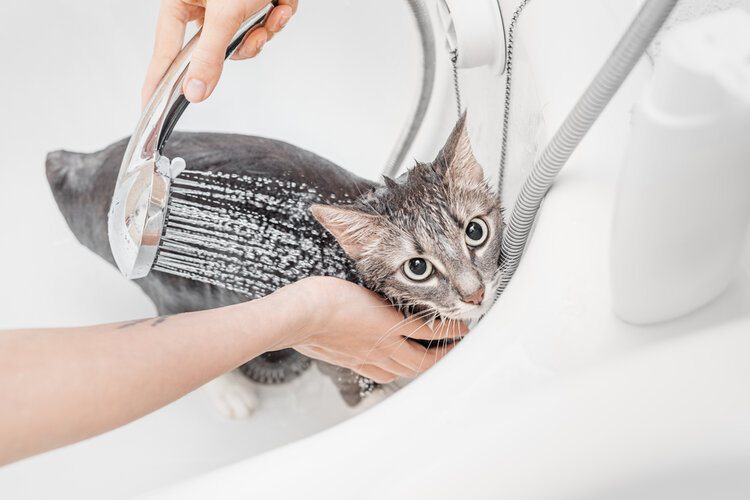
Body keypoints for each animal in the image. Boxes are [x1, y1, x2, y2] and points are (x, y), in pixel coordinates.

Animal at [48, 115, 506, 416]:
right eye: (417, 269)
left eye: (475, 232)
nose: (475, 293)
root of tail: (88, 167)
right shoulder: (350, 370)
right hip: (172, 283)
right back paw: (231, 394)